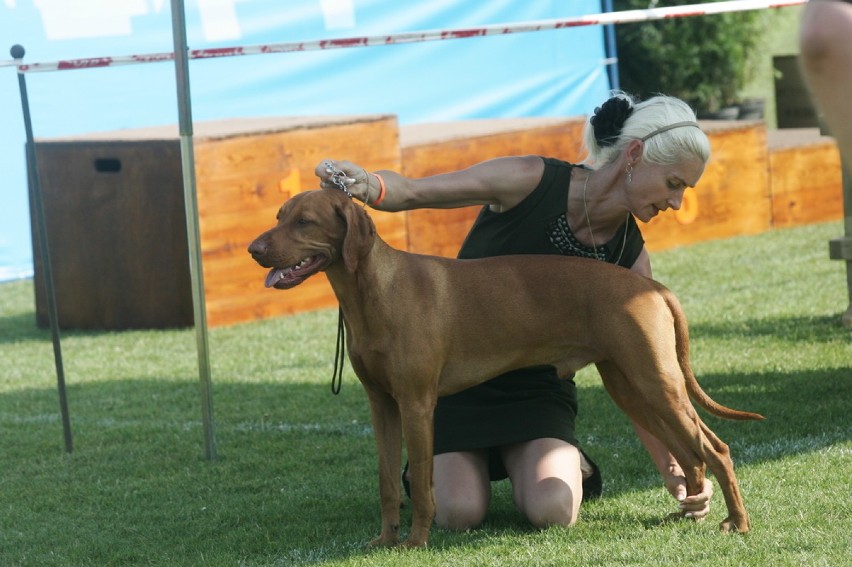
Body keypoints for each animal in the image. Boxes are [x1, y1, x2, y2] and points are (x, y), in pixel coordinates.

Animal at [248, 189, 764, 548]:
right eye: (278, 216)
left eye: (305, 220)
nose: (253, 248)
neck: (374, 292)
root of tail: (653, 287)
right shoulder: (382, 405)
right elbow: (386, 481)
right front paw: (385, 540)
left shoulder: (416, 404)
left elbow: (425, 487)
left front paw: (415, 542)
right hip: (631, 387)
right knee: (690, 453)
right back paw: (689, 514)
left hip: (655, 383)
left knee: (716, 449)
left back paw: (738, 523)